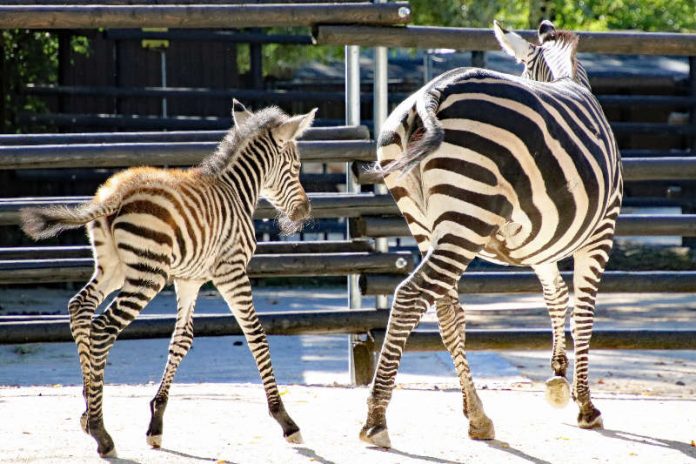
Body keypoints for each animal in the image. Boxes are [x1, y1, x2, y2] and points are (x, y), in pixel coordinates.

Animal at [21, 100, 316, 456]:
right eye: (296, 166)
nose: (305, 212)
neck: (236, 191)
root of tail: (115, 194)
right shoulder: (231, 271)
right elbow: (256, 334)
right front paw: (285, 420)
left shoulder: (190, 279)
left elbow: (182, 339)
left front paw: (156, 422)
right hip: (147, 275)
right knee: (103, 328)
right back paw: (100, 431)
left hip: (113, 268)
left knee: (80, 308)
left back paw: (87, 410)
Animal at [362, 20, 624, 448]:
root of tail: (431, 93)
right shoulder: (601, 230)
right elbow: (583, 312)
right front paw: (585, 405)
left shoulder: (542, 241)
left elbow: (556, 295)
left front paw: (557, 378)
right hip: (466, 214)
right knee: (412, 295)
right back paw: (376, 418)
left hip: (424, 222)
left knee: (446, 310)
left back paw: (478, 416)